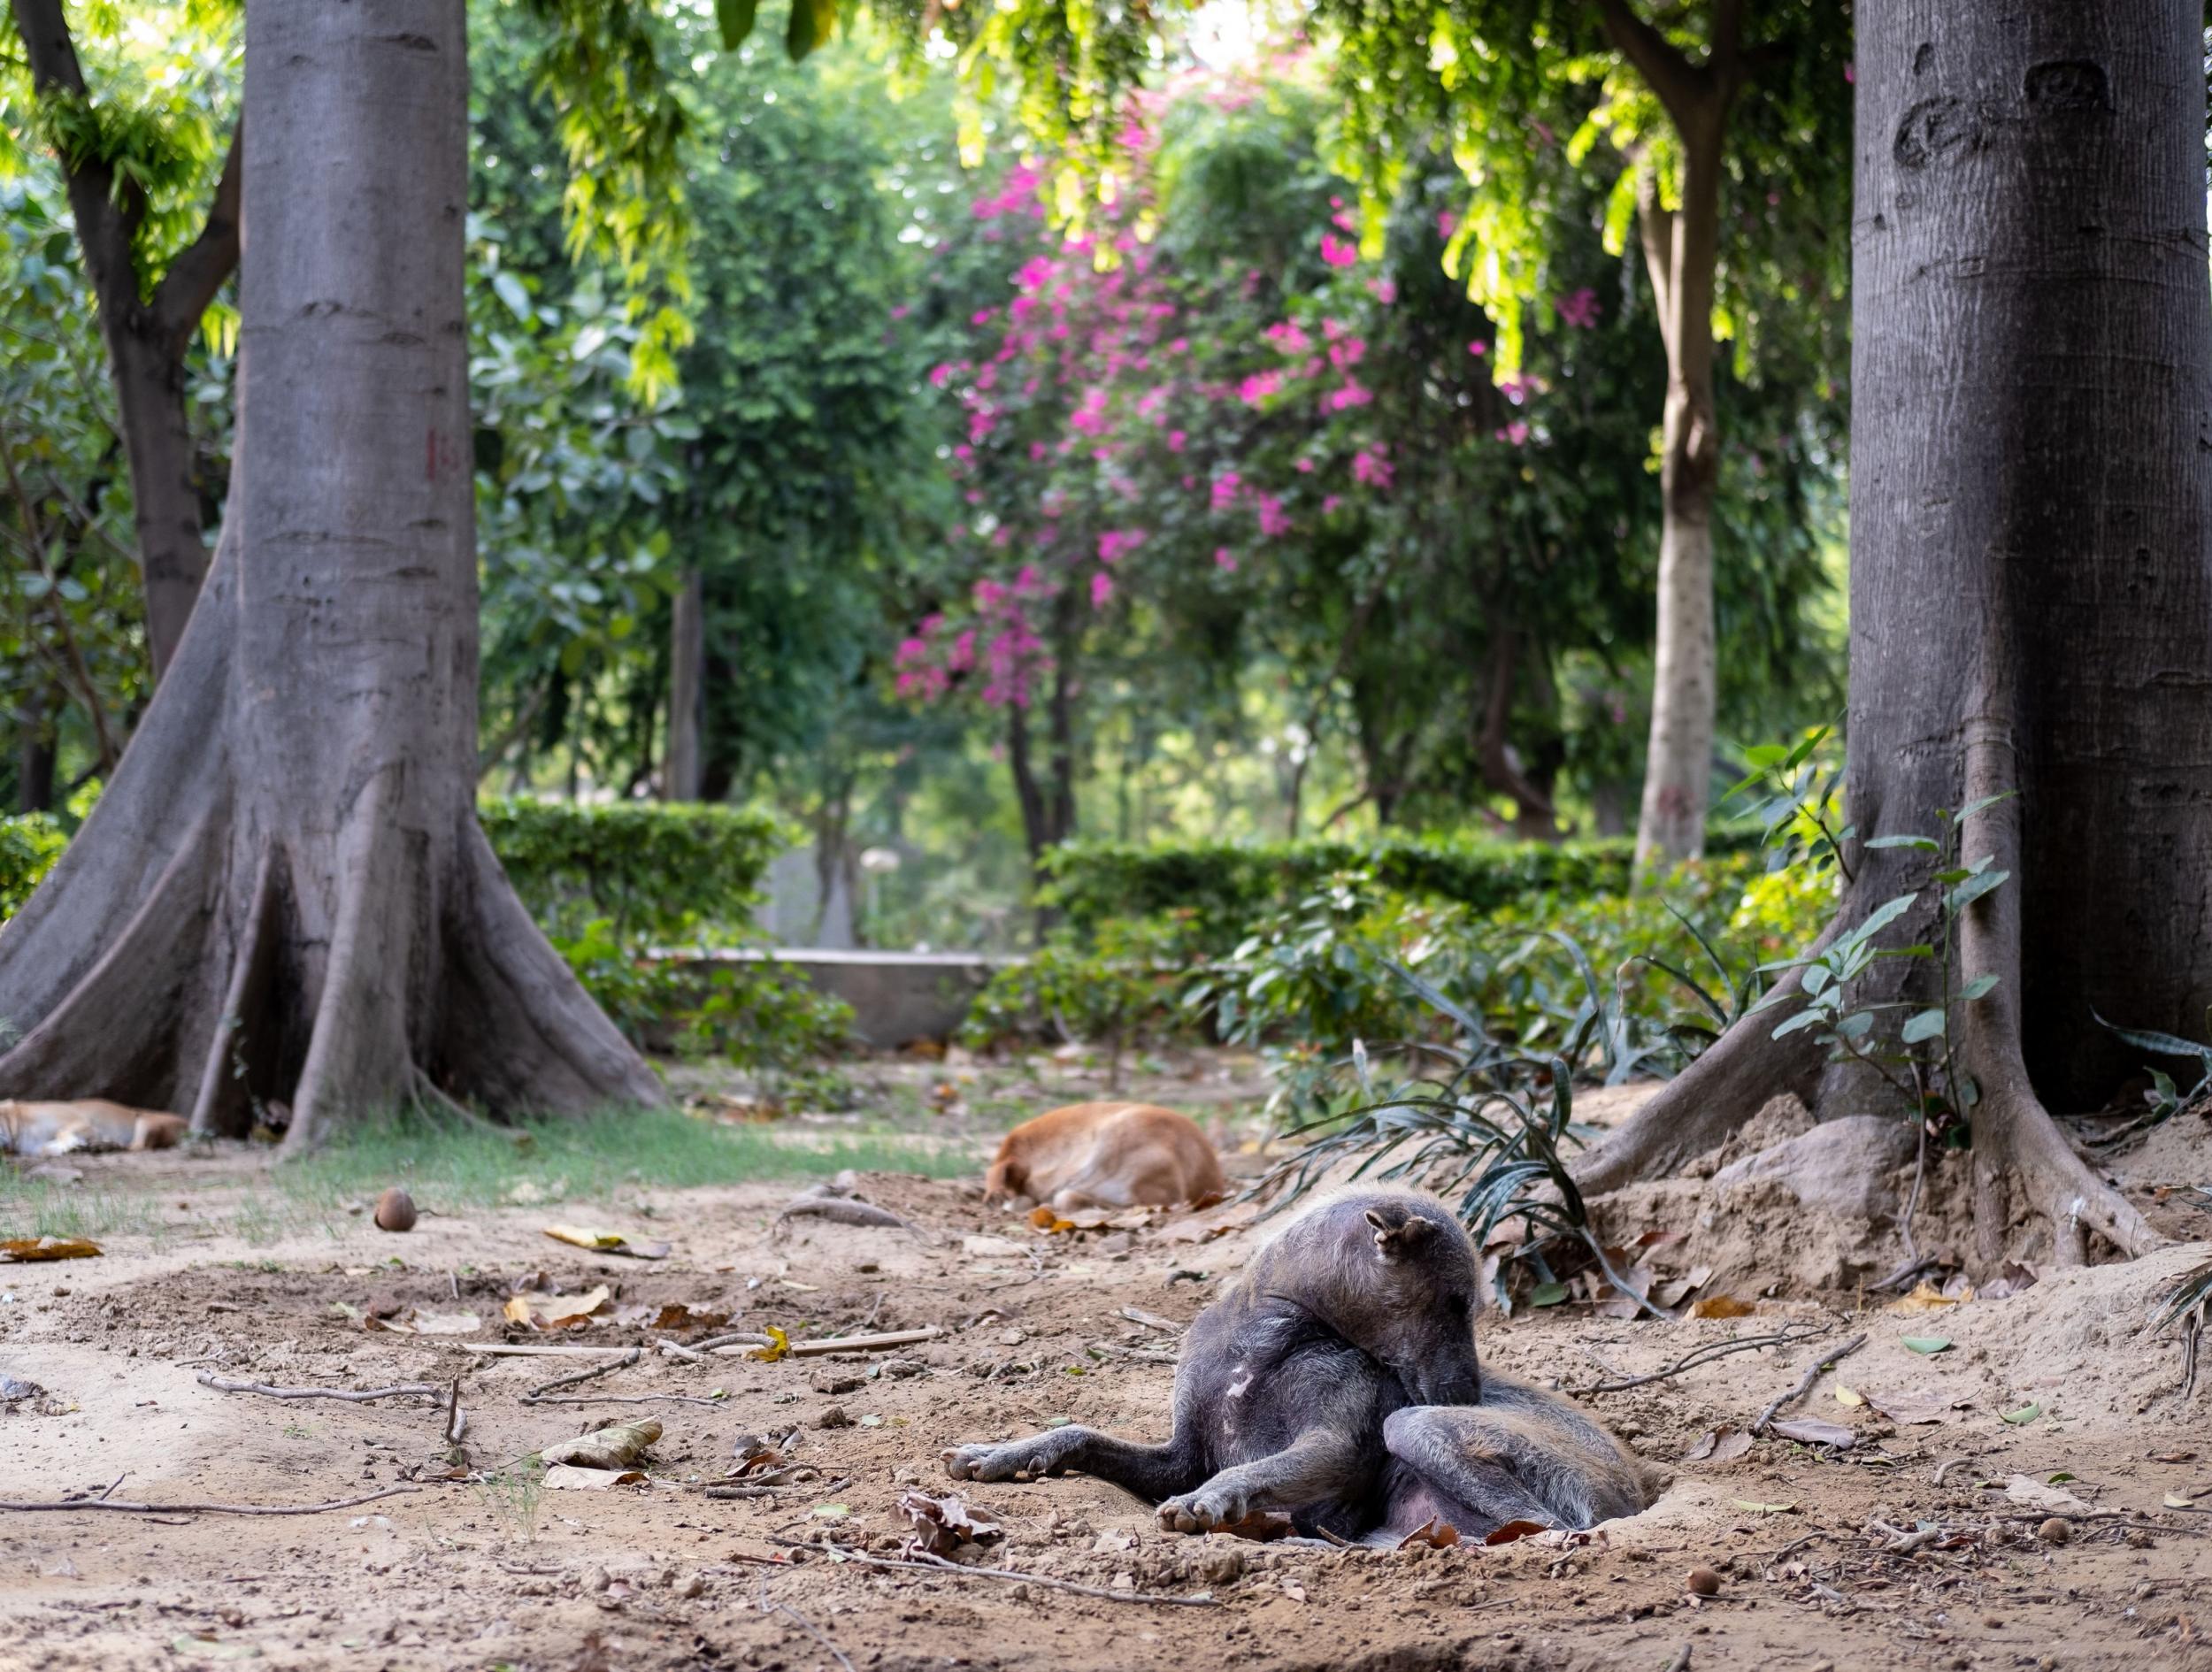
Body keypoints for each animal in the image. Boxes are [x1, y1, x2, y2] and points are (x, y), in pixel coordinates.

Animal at [1, 1106, 188, 1159]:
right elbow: (45, 1149)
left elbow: (62, 1133)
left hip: (145, 1120)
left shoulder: (80, 1121)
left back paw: (105, 1146)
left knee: (137, 1146)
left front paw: (73, 1146)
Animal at [933, 1185, 1663, 1539]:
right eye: (1456, 1302)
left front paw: (1209, 1502)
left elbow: (1253, 1470)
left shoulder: (1330, 1447)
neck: (1264, 1343)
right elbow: (1077, 1432)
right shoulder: (1179, 1455)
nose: (1468, 1394)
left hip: (1417, 1427)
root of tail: (1636, 1488)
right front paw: (1003, 1453)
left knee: (1549, 1528)